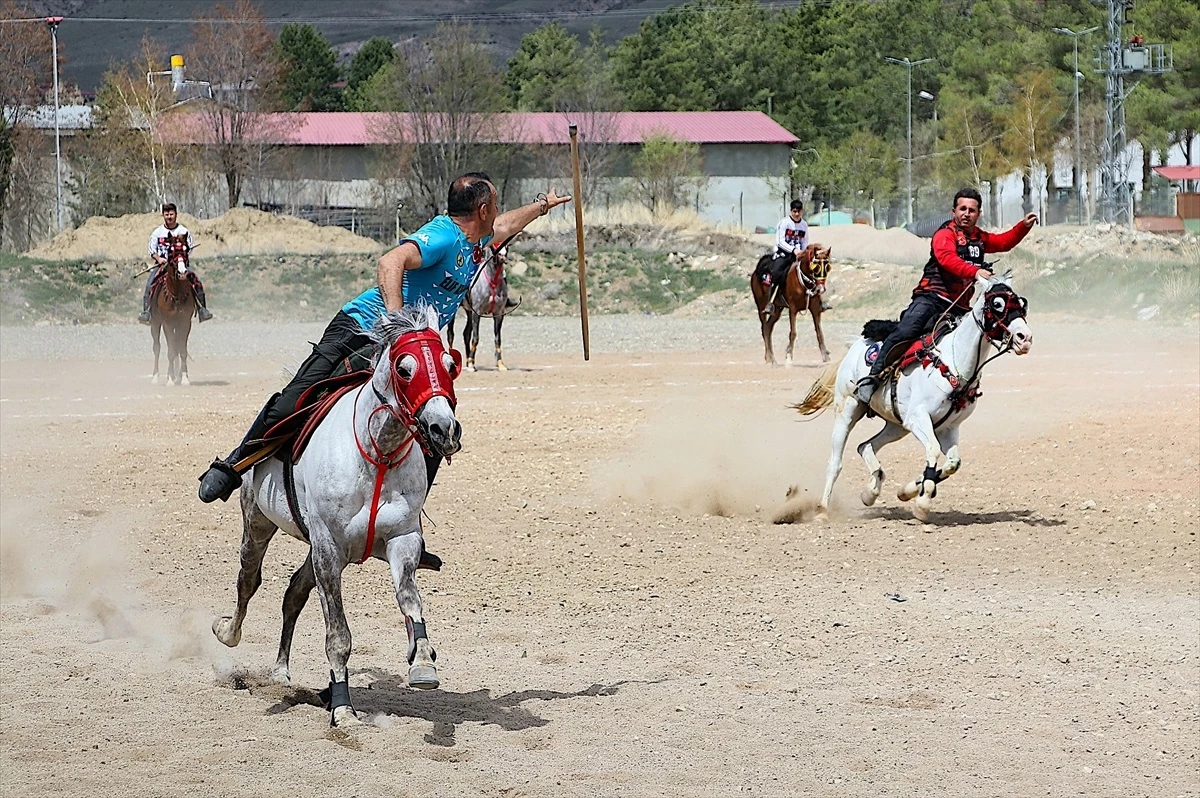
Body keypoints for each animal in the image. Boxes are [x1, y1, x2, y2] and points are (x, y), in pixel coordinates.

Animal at [151, 231, 195, 384]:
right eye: (170, 250)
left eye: (186, 249)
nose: (182, 272)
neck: (176, 294)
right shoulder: (167, 323)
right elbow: (170, 351)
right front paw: (170, 379)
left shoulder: (185, 322)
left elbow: (182, 350)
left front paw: (185, 378)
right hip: (155, 323)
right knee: (157, 347)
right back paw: (155, 377)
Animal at [213, 303, 460, 720]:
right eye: (404, 369)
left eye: (450, 364)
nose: (443, 429)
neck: (377, 453)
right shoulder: (328, 549)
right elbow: (338, 635)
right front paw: (343, 707)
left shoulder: (402, 540)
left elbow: (410, 601)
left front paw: (423, 661)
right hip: (258, 521)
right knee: (248, 579)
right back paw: (228, 632)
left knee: (293, 593)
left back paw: (281, 671)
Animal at [796, 272, 1032, 523]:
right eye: (997, 304)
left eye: (1021, 304)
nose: (1025, 338)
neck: (953, 362)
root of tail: (856, 345)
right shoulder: (918, 418)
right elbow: (933, 451)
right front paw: (922, 502)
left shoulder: (948, 427)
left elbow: (952, 463)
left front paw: (908, 491)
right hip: (848, 410)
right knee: (835, 463)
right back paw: (823, 510)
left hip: (897, 426)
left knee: (865, 446)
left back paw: (870, 492)